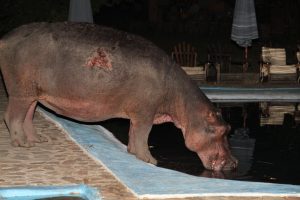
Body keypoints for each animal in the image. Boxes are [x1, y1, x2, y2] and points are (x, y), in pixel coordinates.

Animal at [0, 22, 238, 171]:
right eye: (222, 130)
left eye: (229, 129)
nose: (235, 163)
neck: (185, 105)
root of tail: (5, 38)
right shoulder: (146, 112)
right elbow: (143, 135)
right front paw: (151, 161)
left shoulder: (139, 114)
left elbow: (134, 134)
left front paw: (134, 154)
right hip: (20, 92)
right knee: (12, 116)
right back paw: (22, 144)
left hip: (32, 94)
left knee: (28, 115)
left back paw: (36, 140)